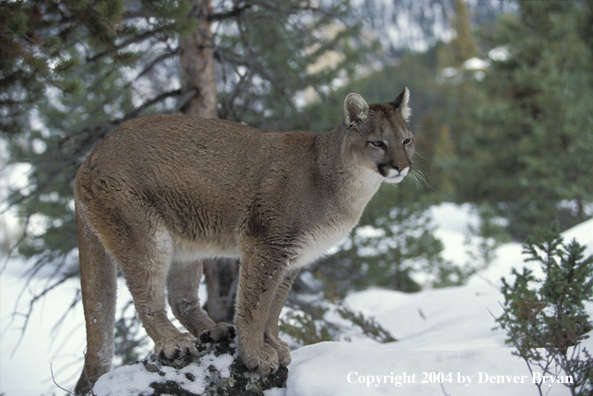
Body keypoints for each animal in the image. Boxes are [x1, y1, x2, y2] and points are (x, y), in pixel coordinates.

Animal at [74, 88, 414, 394]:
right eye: (378, 142)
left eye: (407, 140)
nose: (401, 166)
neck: (346, 182)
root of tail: (89, 157)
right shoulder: (266, 246)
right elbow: (255, 306)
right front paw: (254, 355)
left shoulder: (293, 258)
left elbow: (273, 309)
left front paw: (273, 344)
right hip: (144, 235)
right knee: (147, 300)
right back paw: (173, 342)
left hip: (185, 244)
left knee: (182, 297)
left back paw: (211, 331)